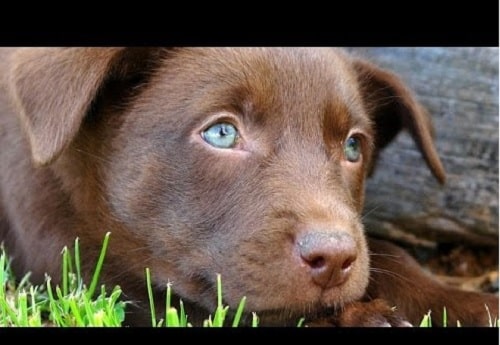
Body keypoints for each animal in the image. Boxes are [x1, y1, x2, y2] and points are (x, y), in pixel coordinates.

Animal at [0, 47, 496, 326]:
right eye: (222, 133)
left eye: (354, 146)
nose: (334, 258)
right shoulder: (65, 258)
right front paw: (358, 319)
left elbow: (389, 253)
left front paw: (465, 303)